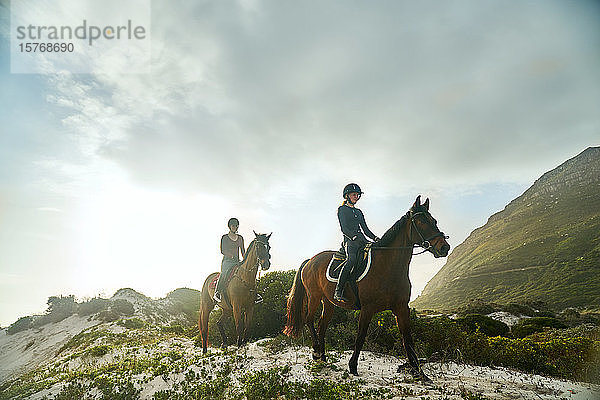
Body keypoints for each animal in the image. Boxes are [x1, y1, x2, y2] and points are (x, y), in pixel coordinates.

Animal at [284, 198, 448, 380]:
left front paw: (419, 372)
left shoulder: (401, 308)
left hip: (328, 302)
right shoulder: (367, 309)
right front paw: (353, 366)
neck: (388, 266)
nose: (444, 247)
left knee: (322, 325)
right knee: (309, 320)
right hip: (314, 296)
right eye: (421, 222)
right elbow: (360, 337)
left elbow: (408, 339)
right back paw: (317, 352)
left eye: (434, 221)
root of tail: (310, 260)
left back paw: (322, 356)